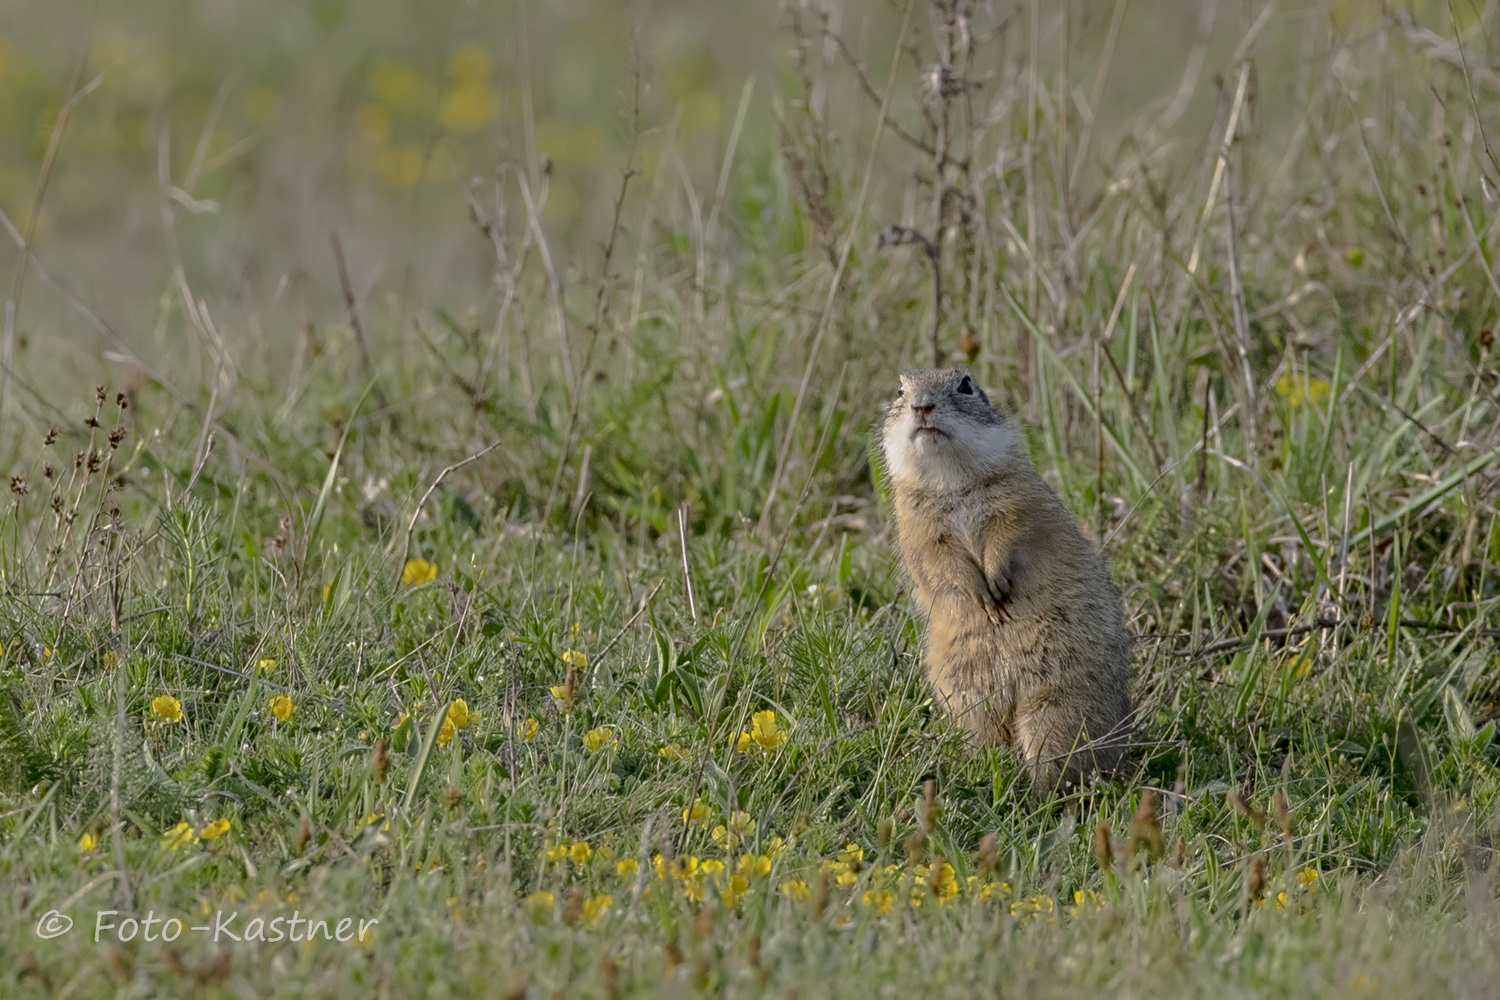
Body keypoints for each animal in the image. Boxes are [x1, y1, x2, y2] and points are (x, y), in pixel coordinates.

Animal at [876, 370, 1128, 797]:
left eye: (965, 384)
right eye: (899, 389)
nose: (921, 406)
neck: (949, 479)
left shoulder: (1016, 503)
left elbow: (1006, 537)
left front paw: (996, 586)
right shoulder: (919, 531)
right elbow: (942, 563)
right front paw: (984, 599)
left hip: (1056, 708)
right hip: (973, 707)